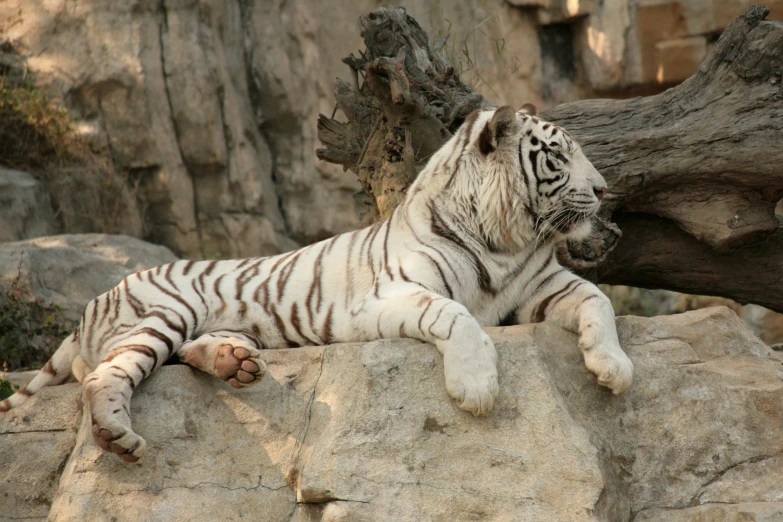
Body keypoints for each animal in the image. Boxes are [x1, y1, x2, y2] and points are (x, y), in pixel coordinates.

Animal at [0, 104, 632, 460]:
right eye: (558, 157)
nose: (604, 189)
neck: (507, 240)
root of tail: (93, 301)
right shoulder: (384, 298)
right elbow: (454, 314)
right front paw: (476, 388)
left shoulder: (541, 286)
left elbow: (598, 299)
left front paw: (614, 369)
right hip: (161, 312)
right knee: (104, 375)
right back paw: (116, 436)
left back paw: (235, 363)